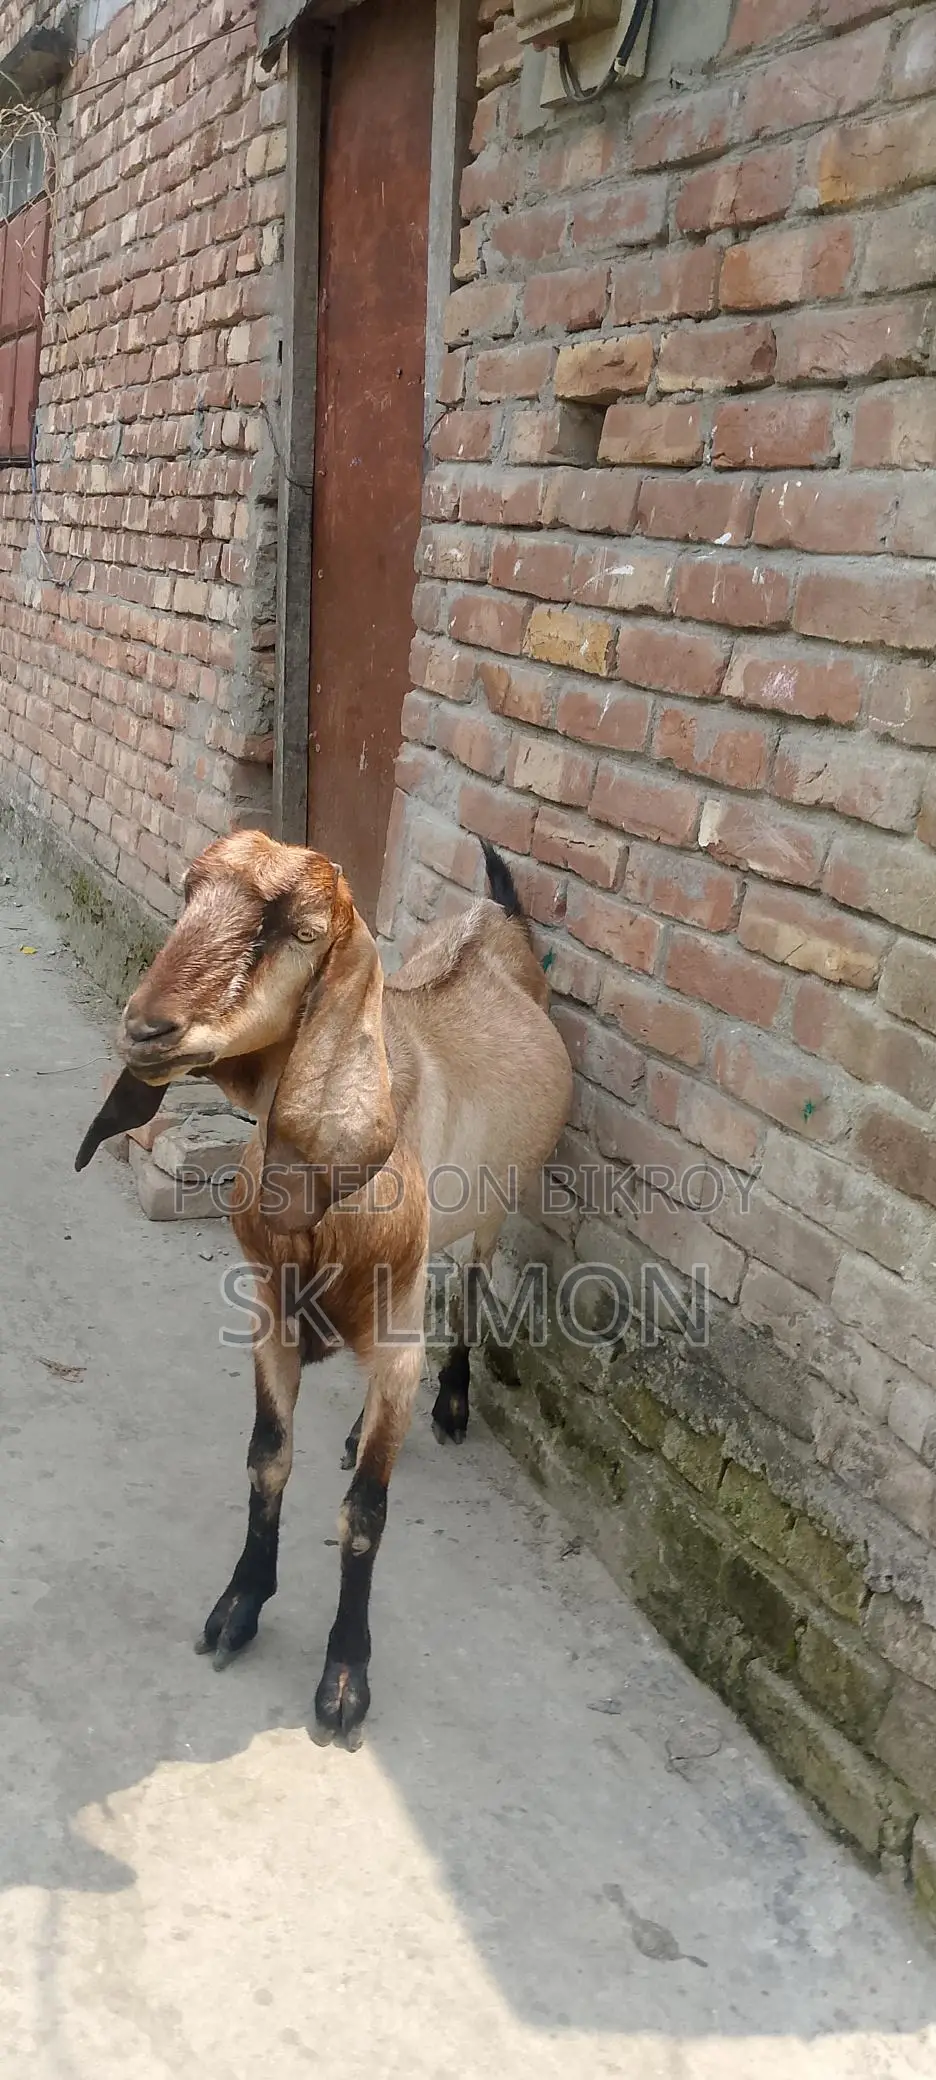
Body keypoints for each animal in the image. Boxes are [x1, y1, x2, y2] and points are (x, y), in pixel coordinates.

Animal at [76, 831, 572, 1746]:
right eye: (188, 893)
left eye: (303, 932)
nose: (147, 1029)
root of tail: (497, 916)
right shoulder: (270, 1322)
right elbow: (268, 1461)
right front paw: (239, 1608)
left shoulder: (396, 1330)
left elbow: (365, 1514)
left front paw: (345, 1679)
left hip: (496, 1205)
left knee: (469, 1285)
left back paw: (452, 1405)